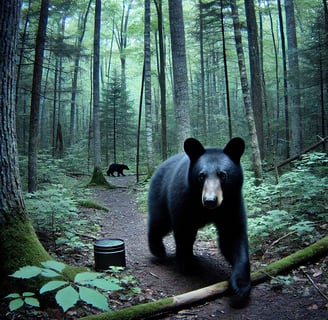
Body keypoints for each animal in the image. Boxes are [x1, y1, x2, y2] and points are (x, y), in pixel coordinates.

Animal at [148, 137, 251, 304]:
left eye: (222, 175)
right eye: (201, 175)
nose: (210, 200)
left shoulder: (232, 203)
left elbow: (233, 235)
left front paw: (240, 286)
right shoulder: (184, 199)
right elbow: (183, 232)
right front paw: (185, 263)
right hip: (160, 194)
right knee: (159, 222)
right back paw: (158, 250)